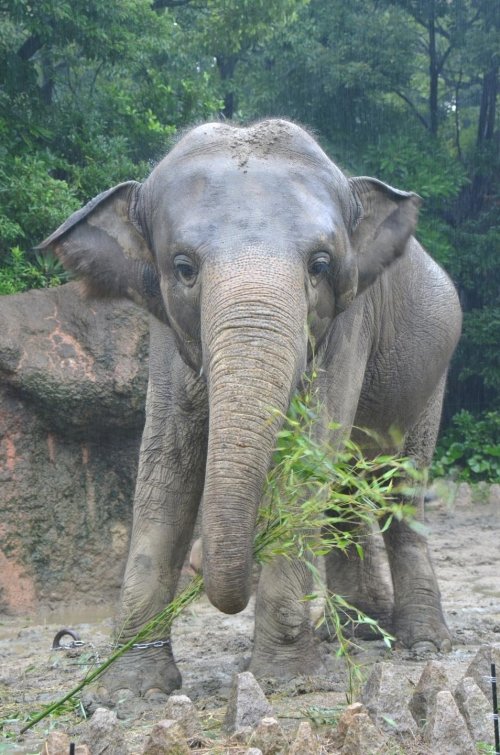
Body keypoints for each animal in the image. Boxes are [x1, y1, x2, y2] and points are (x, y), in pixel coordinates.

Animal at [39, 118, 460, 704]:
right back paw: (349, 632)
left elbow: (308, 460)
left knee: (398, 487)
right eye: (183, 268)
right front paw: (131, 692)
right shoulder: (167, 335)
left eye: (320, 265)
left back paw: (420, 644)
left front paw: (286, 681)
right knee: (345, 493)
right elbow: (166, 465)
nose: (209, 575)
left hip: (431, 378)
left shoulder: (350, 322)